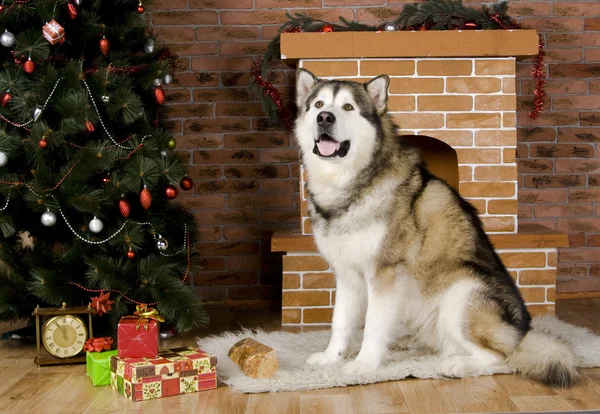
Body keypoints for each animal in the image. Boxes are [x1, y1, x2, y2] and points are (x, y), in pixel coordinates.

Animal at [296, 68, 580, 388]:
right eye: (318, 105)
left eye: (347, 107)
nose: (325, 118)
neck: (350, 183)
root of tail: (523, 332)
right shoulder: (346, 273)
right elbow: (340, 322)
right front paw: (331, 358)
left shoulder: (385, 273)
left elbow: (372, 325)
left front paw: (364, 364)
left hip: (461, 292)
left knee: (500, 356)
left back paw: (456, 364)